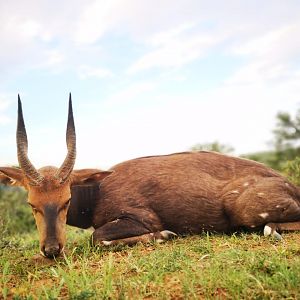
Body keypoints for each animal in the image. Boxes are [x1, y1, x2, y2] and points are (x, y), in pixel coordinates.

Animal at [0, 94, 300, 258]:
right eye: (32, 204)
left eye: (66, 200)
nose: (51, 250)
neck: (98, 191)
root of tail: (290, 185)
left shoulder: (141, 218)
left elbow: (97, 238)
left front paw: (164, 234)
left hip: (244, 211)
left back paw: (271, 230)